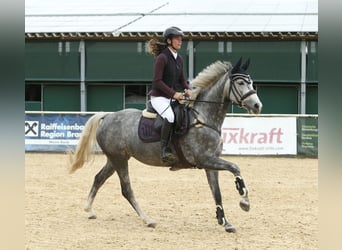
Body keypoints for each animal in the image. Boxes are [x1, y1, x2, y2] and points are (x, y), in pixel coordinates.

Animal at [69, 57, 262, 232]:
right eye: (240, 82)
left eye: (251, 82)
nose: (257, 106)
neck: (203, 118)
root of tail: (107, 116)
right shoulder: (204, 159)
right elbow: (235, 167)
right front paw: (244, 201)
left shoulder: (211, 162)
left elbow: (217, 193)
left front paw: (225, 222)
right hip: (119, 160)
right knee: (126, 189)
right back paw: (147, 220)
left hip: (115, 159)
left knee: (99, 178)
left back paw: (89, 210)